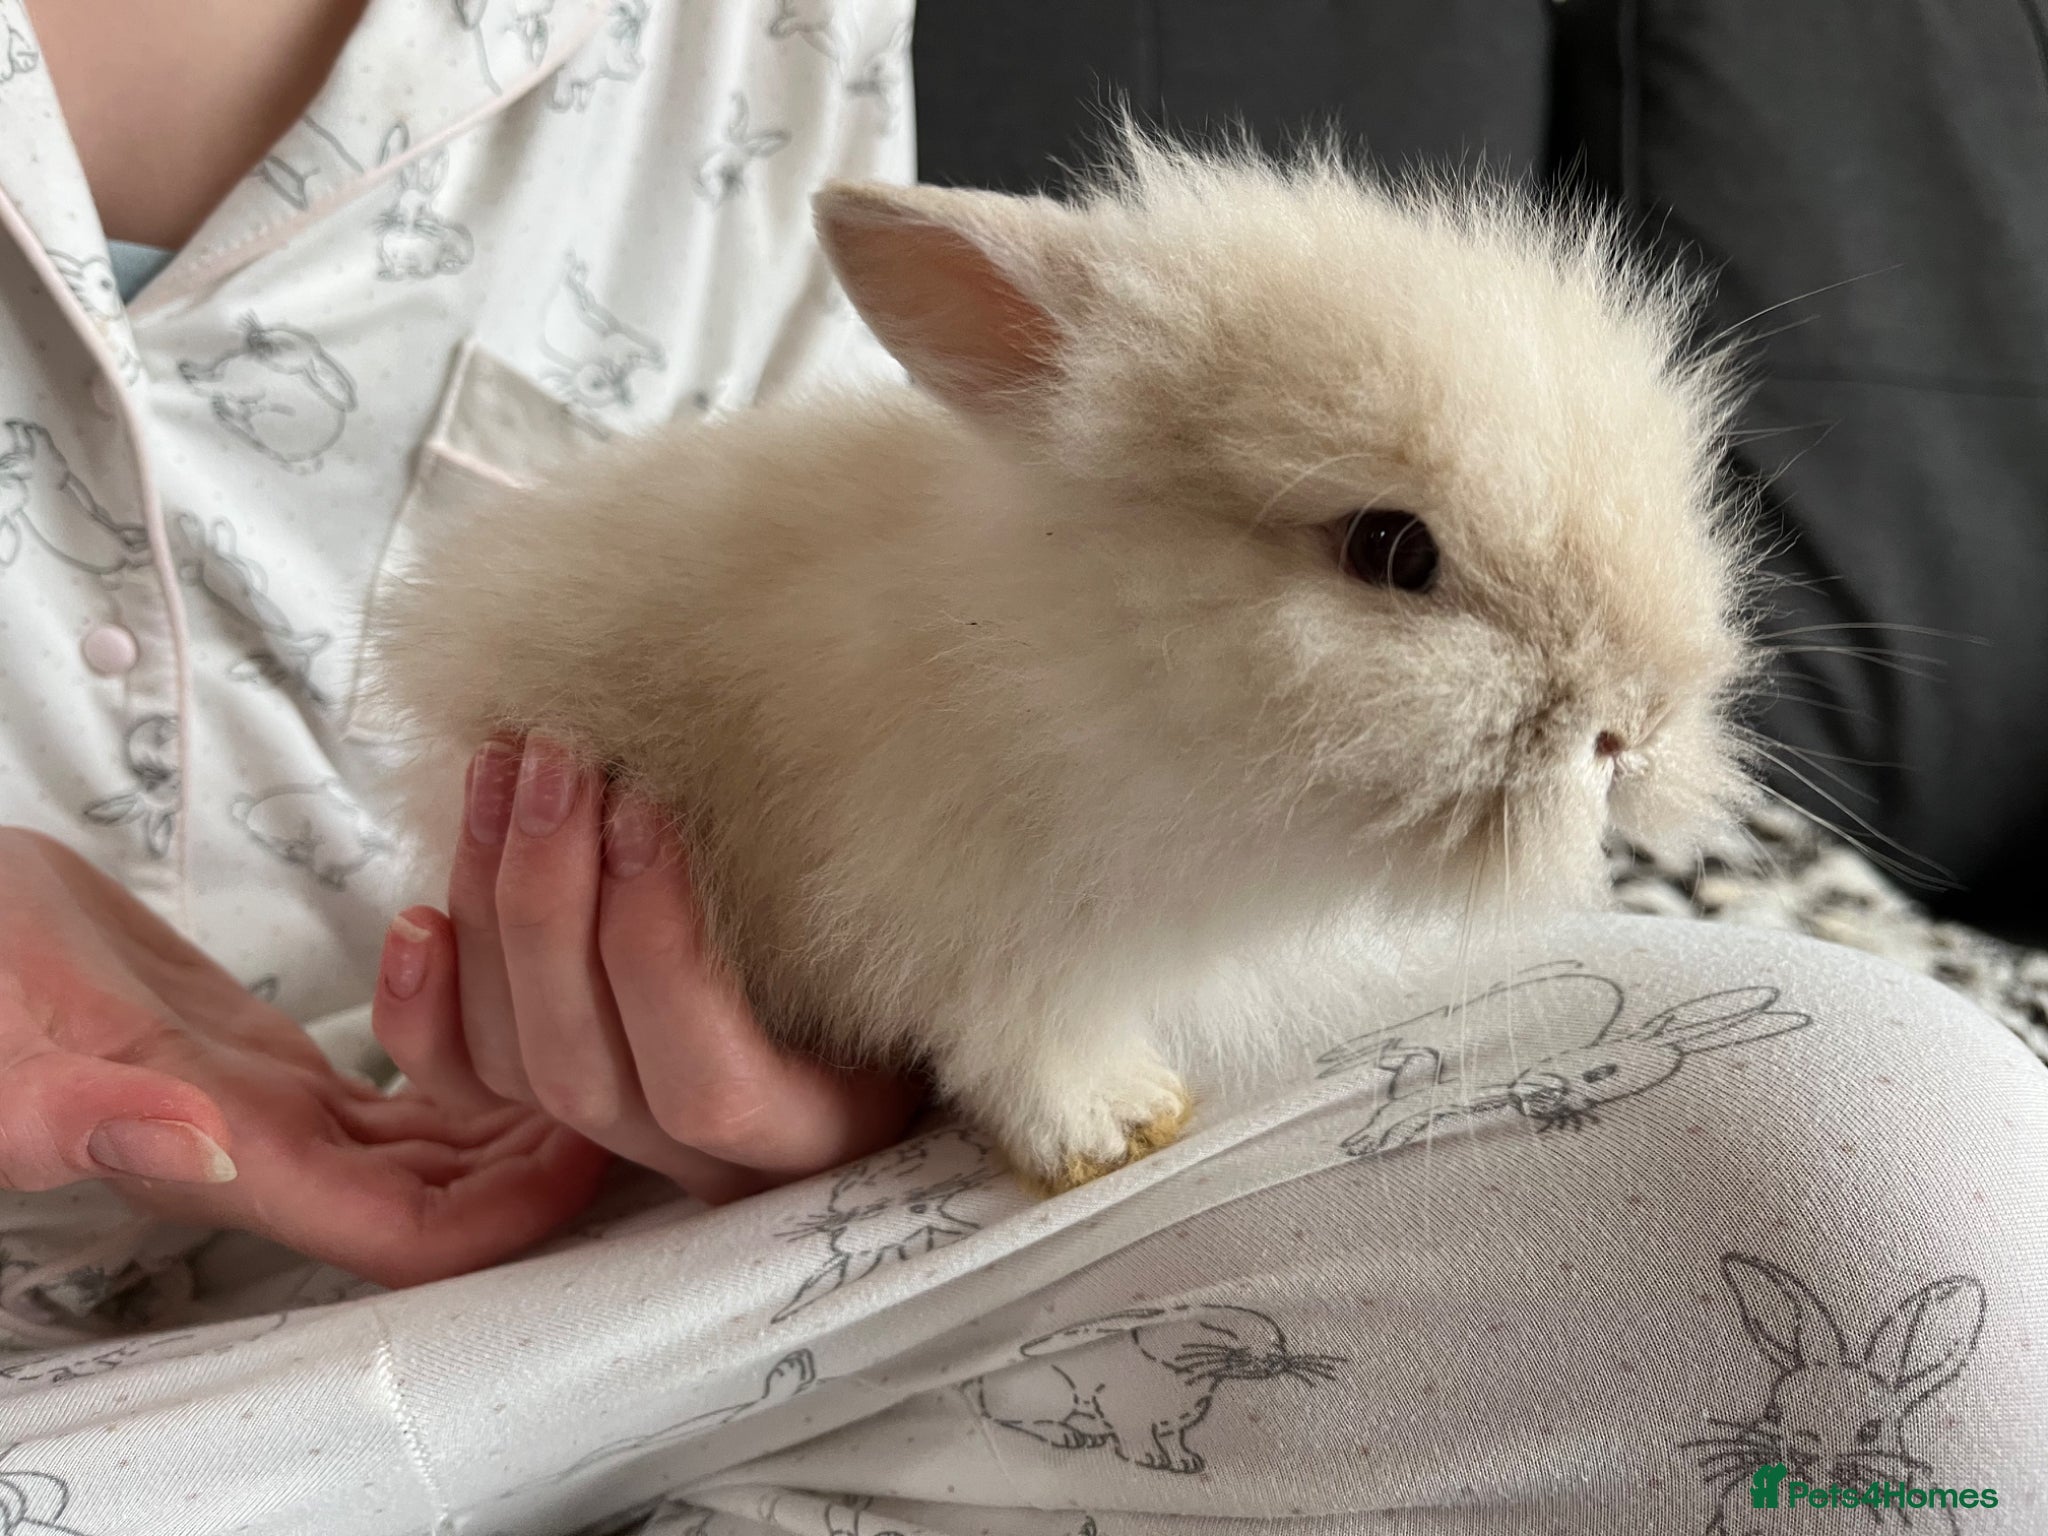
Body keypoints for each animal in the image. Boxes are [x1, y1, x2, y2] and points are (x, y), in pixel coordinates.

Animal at [370, 135, 1759, 1193]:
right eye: (1390, 549)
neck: (1088, 658)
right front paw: (1114, 1130)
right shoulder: (964, 915)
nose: (1631, 728)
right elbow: (1022, 1044)